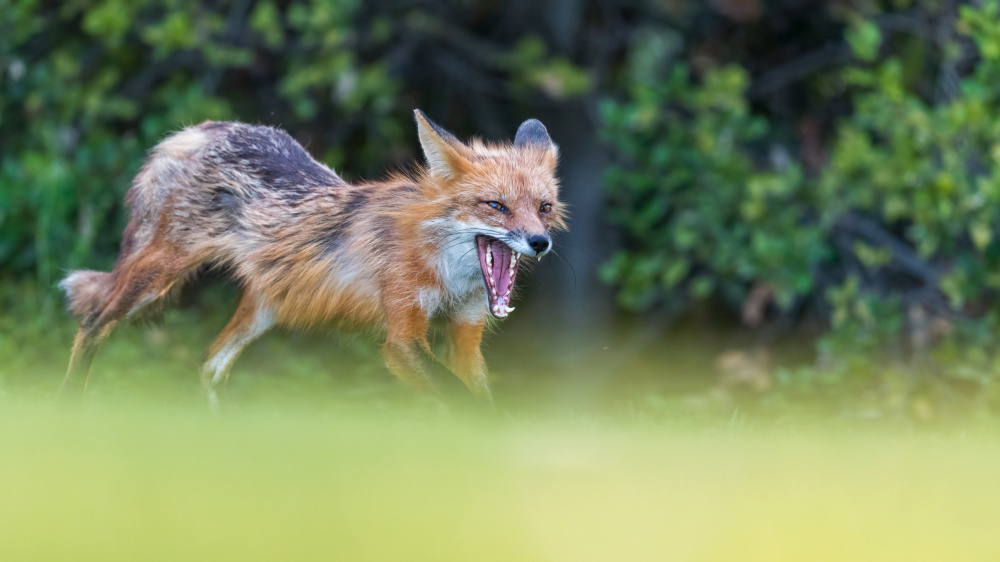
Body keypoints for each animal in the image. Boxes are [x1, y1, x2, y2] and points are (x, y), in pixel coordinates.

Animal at [59, 110, 564, 407]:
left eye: (544, 207)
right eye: (495, 206)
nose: (539, 243)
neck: (448, 274)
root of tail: (202, 128)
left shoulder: (464, 334)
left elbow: (475, 398)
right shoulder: (403, 335)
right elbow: (464, 403)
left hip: (263, 309)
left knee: (210, 365)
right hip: (157, 275)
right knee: (92, 324)